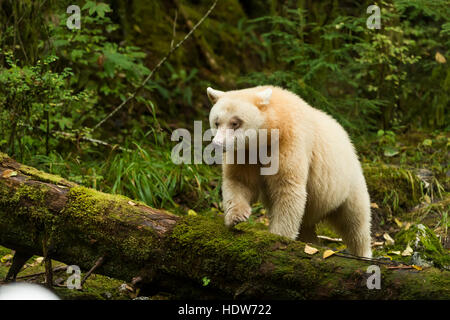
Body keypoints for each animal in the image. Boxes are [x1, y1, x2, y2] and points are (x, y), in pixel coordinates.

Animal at [207, 85, 372, 258]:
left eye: (235, 122)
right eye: (216, 122)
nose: (218, 144)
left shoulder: (289, 141)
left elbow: (287, 187)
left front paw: (278, 235)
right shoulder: (245, 153)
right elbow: (240, 180)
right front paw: (236, 216)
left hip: (347, 180)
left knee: (355, 220)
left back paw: (363, 253)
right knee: (307, 225)